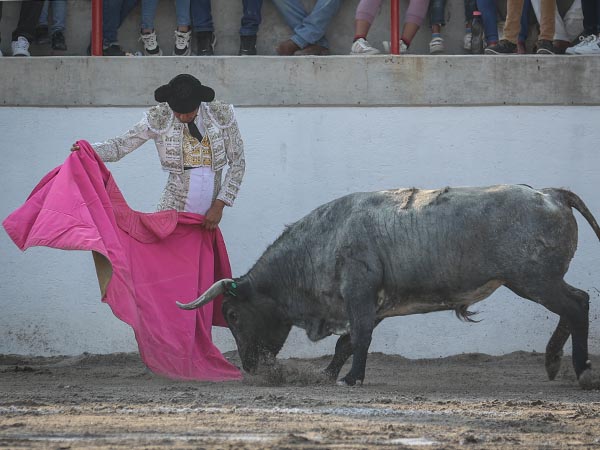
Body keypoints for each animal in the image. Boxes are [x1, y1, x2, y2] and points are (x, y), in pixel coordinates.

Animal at [176, 185, 596, 386]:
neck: (323, 241)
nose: (249, 367)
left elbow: (359, 337)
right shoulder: (372, 304)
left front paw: (352, 378)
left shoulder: (359, 293)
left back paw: (581, 371)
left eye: (231, 314)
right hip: (537, 282)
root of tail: (550, 194)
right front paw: (328, 375)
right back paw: (553, 362)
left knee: (576, 305)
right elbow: (348, 342)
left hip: (534, 281)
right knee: (577, 302)